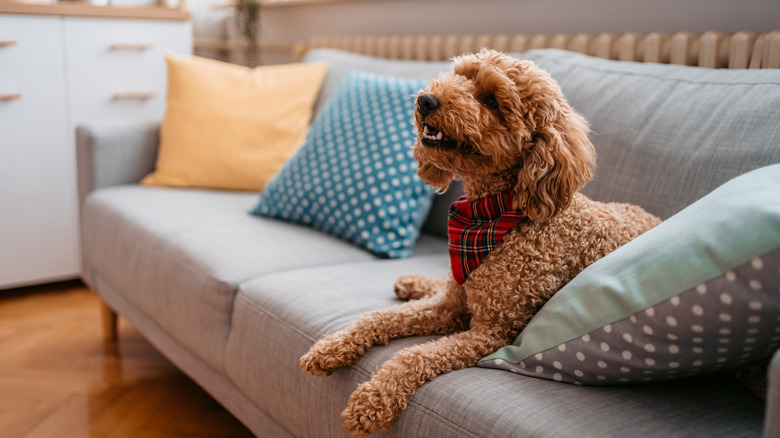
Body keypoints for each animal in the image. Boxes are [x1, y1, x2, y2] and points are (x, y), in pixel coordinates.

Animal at [302, 49, 660, 436]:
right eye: (459, 76)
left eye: (491, 100)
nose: (426, 100)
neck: (488, 216)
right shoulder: (450, 306)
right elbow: (377, 317)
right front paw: (330, 347)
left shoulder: (493, 332)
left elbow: (414, 354)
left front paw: (372, 400)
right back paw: (412, 282)